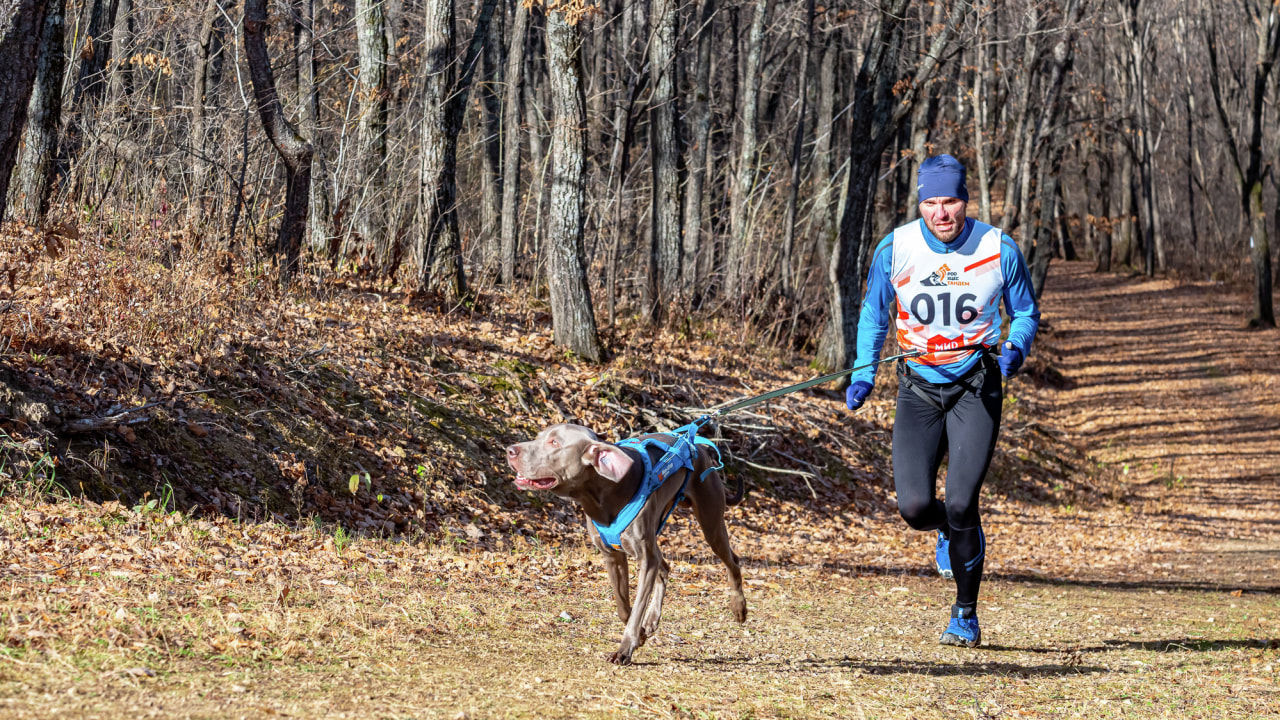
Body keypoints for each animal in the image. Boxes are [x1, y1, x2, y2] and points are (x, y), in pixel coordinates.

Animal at [501, 420, 747, 661]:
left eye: (554, 442)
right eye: (539, 437)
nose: (510, 450)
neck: (600, 492)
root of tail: (700, 446)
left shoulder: (645, 559)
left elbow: (637, 607)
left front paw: (626, 648)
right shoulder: (612, 556)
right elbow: (623, 607)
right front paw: (640, 634)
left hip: (710, 521)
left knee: (732, 561)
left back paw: (739, 607)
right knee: (665, 567)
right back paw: (652, 619)